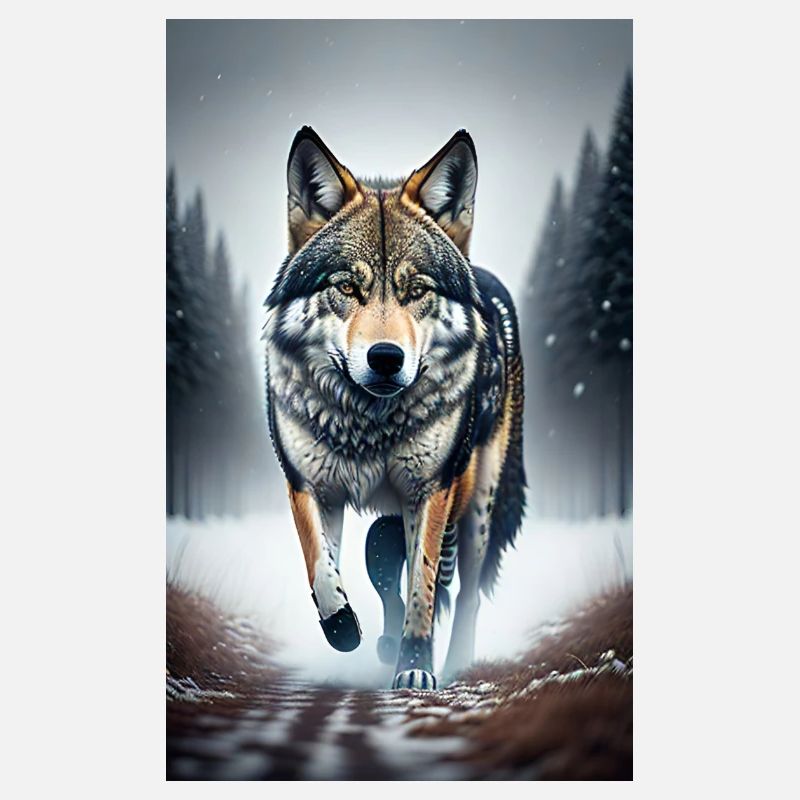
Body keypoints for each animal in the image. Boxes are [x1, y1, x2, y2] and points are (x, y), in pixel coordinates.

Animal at [264, 127, 525, 689]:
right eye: (346, 285)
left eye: (416, 290)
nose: (386, 358)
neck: (368, 424)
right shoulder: (307, 483)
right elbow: (321, 564)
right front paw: (343, 626)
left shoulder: (431, 489)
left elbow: (422, 589)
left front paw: (415, 667)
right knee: (384, 561)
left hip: (478, 503)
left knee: (464, 592)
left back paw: (455, 663)